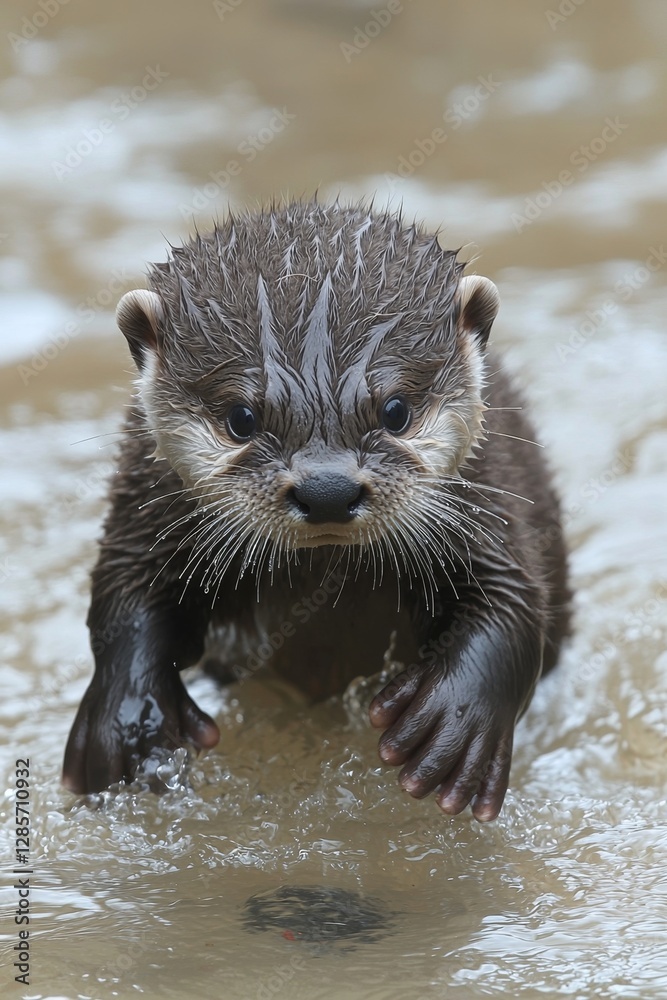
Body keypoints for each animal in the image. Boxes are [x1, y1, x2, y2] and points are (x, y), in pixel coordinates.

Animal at [62, 201, 569, 820]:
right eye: (242, 418)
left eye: (395, 410)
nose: (327, 489)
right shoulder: (145, 503)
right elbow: (122, 595)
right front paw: (129, 718)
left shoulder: (490, 498)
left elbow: (514, 606)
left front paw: (454, 724)